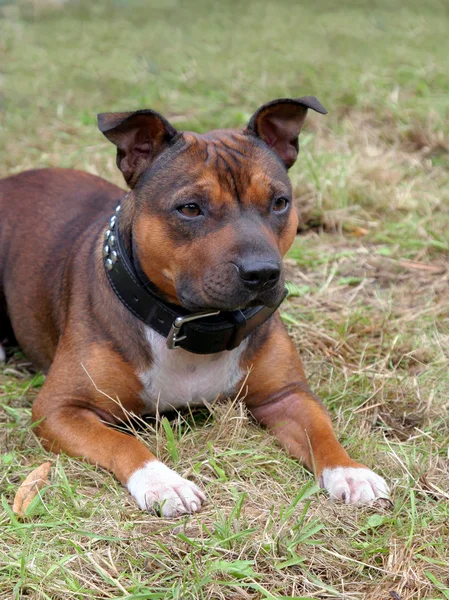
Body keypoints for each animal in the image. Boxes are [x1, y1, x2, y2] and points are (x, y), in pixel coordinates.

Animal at [0, 97, 386, 516]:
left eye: (280, 203)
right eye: (189, 208)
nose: (263, 273)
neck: (195, 323)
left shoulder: (287, 395)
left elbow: (321, 431)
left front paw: (350, 471)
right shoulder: (60, 409)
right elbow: (122, 441)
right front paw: (163, 482)